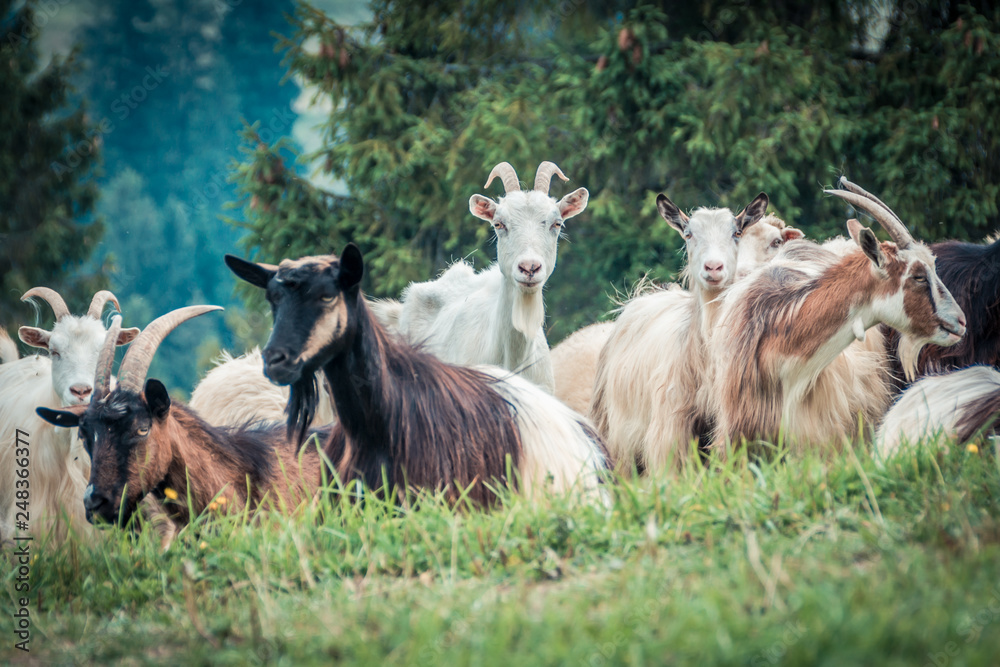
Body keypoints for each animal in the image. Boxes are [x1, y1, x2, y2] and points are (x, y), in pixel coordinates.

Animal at [590, 192, 770, 472]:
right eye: (688, 234)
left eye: (737, 232)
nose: (713, 267)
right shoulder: (669, 428)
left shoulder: (726, 427)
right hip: (614, 432)